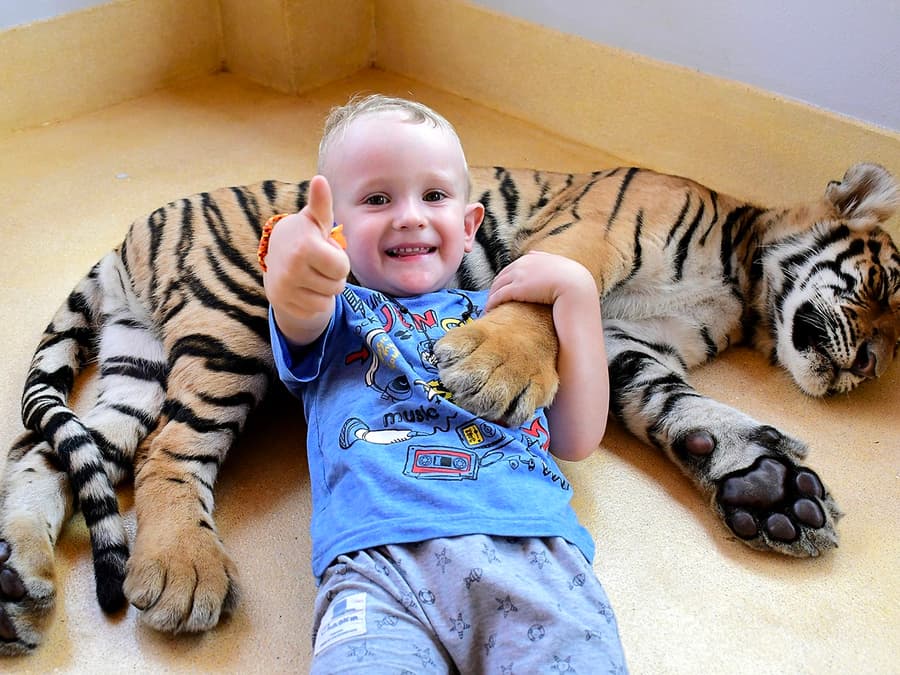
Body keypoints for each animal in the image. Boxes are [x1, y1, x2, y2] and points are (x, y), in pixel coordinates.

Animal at [0, 162, 897, 654]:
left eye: (893, 343)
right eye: (884, 290)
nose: (862, 366)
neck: (742, 283)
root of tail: (129, 236)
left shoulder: (630, 348)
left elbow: (681, 407)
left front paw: (767, 486)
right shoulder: (592, 232)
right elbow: (537, 304)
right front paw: (492, 368)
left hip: (135, 362)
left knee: (50, 452)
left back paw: (16, 576)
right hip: (230, 319)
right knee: (168, 448)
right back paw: (182, 567)